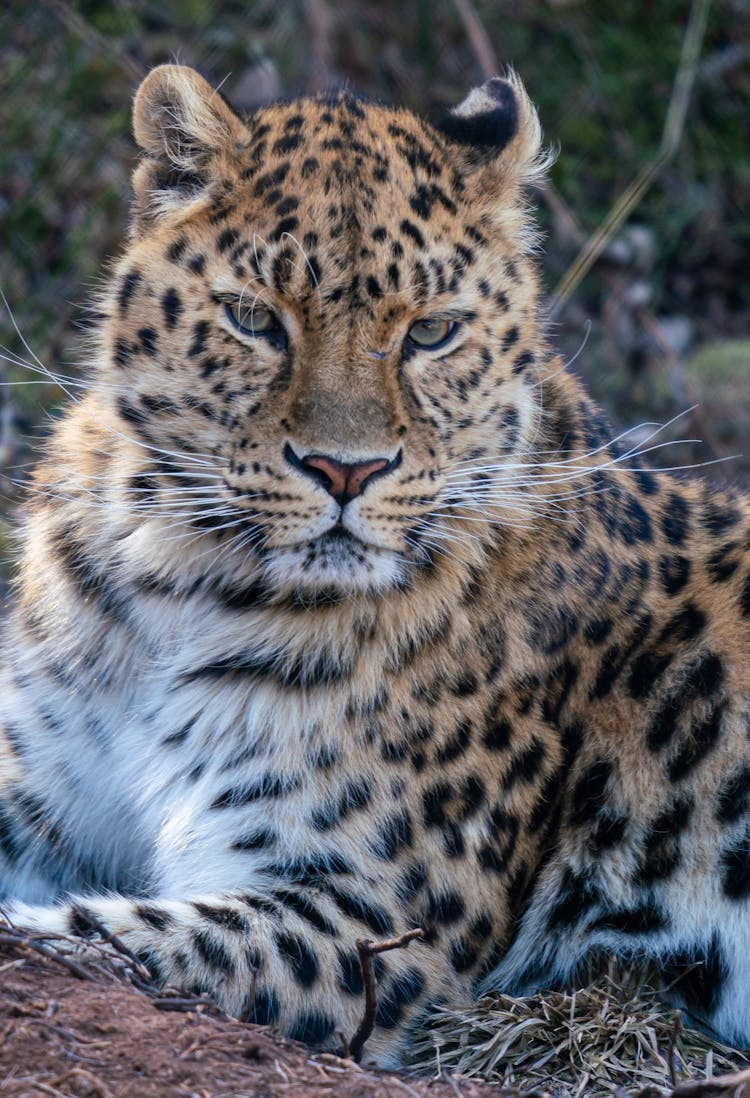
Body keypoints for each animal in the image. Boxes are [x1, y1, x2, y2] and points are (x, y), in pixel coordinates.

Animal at [1, 64, 750, 1067]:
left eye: (431, 333)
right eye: (255, 320)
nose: (345, 471)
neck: (174, 578)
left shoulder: (372, 919)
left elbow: (107, 929)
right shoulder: (38, 795)